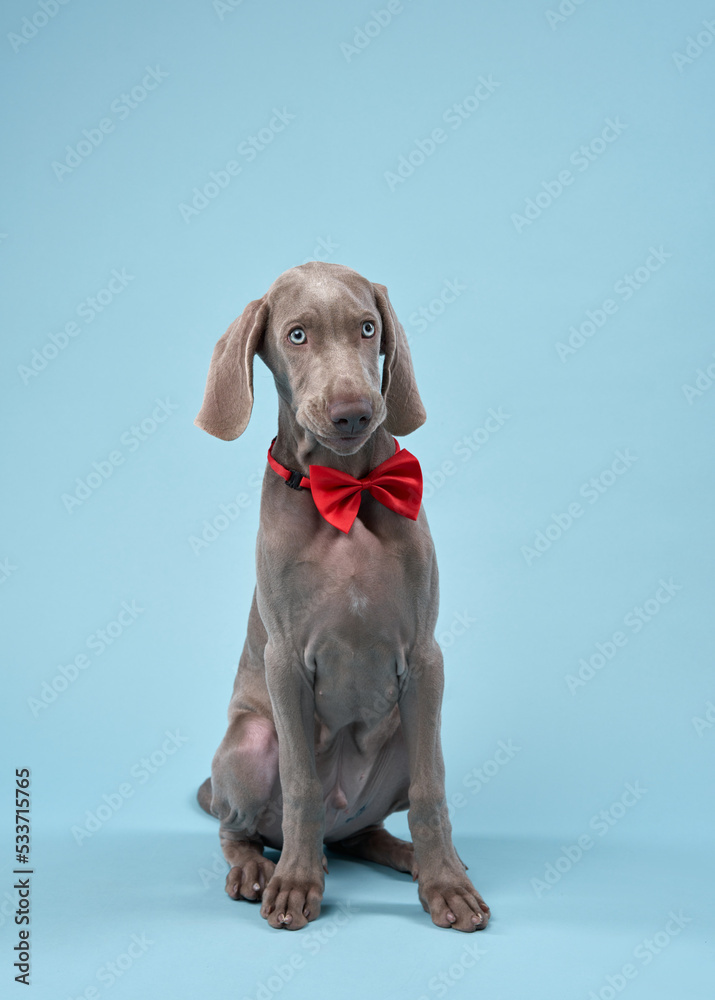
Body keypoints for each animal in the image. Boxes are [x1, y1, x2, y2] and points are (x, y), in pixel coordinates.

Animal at [193, 260, 490, 928]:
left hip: (406, 731)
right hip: (249, 744)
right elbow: (302, 784)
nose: (355, 412)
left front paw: (446, 885)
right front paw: (296, 885)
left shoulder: (427, 657)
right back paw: (257, 869)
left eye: (368, 328)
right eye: (297, 335)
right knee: (238, 827)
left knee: (369, 831)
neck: (346, 491)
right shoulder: (283, 661)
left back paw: (417, 859)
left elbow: (433, 790)